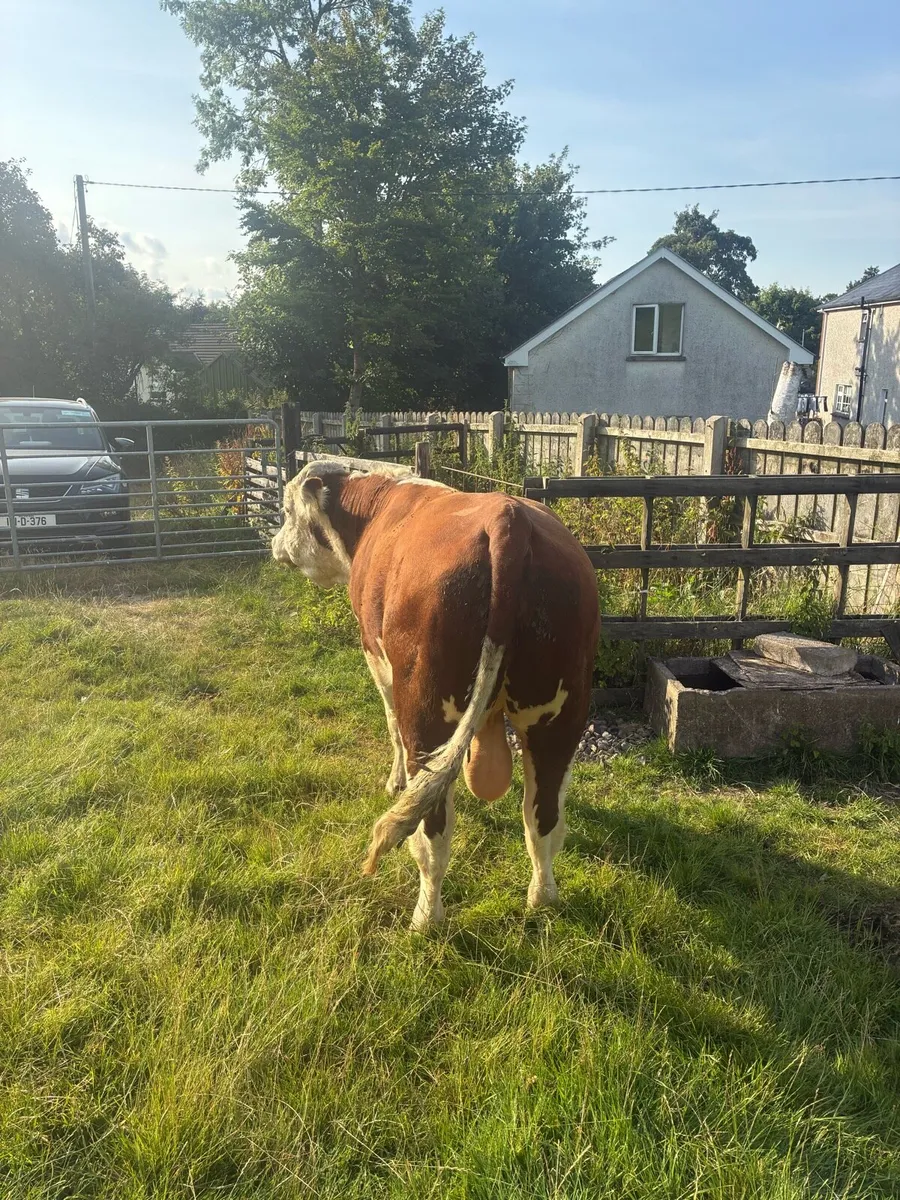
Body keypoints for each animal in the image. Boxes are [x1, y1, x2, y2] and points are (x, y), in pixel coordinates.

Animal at [272, 460, 600, 929]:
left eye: (285, 510)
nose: (275, 544)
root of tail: (509, 519)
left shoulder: (377, 659)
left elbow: (391, 725)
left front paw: (393, 782)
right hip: (559, 716)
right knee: (544, 819)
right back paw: (542, 898)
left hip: (426, 713)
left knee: (432, 832)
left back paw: (425, 919)